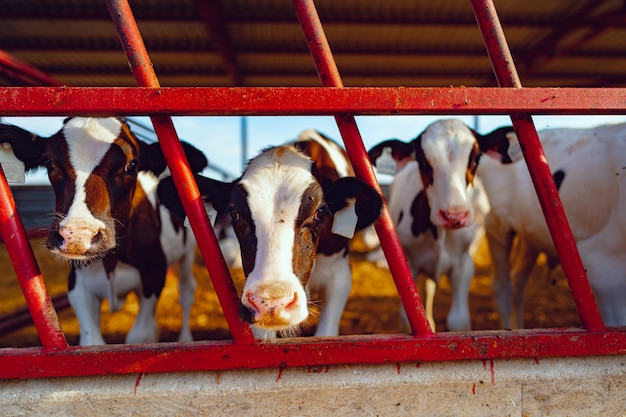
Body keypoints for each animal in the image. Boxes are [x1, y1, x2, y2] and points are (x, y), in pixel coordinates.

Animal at [0, 115, 207, 342]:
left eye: (131, 165)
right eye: (49, 162)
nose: (77, 235)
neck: (111, 262)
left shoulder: (154, 276)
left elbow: (140, 336)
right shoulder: (78, 287)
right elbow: (92, 340)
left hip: (188, 251)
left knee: (186, 292)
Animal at [368, 118, 510, 330]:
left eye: (476, 159)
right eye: (423, 161)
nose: (454, 215)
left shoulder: (464, 264)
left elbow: (458, 320)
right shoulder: (410, 264)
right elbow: (411, 319)